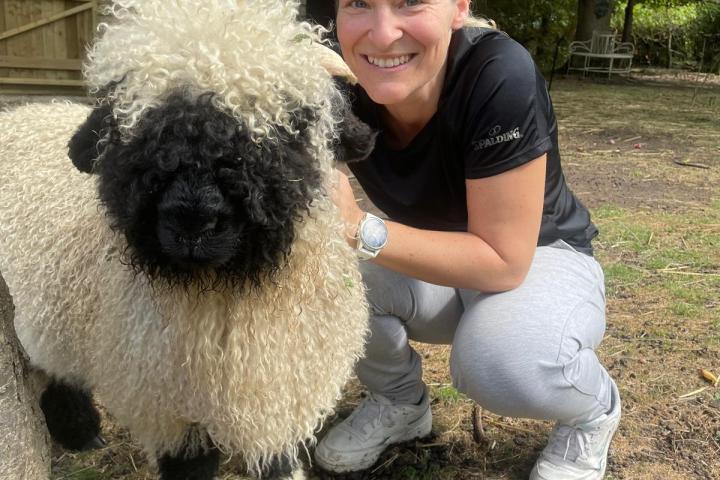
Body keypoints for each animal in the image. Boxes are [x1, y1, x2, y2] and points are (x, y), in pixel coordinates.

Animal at [0, 0, 375, 478]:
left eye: (293, 123)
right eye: (128, 124)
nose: (194, 220)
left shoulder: (277, 394)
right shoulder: (171, 413)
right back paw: (82, 431)